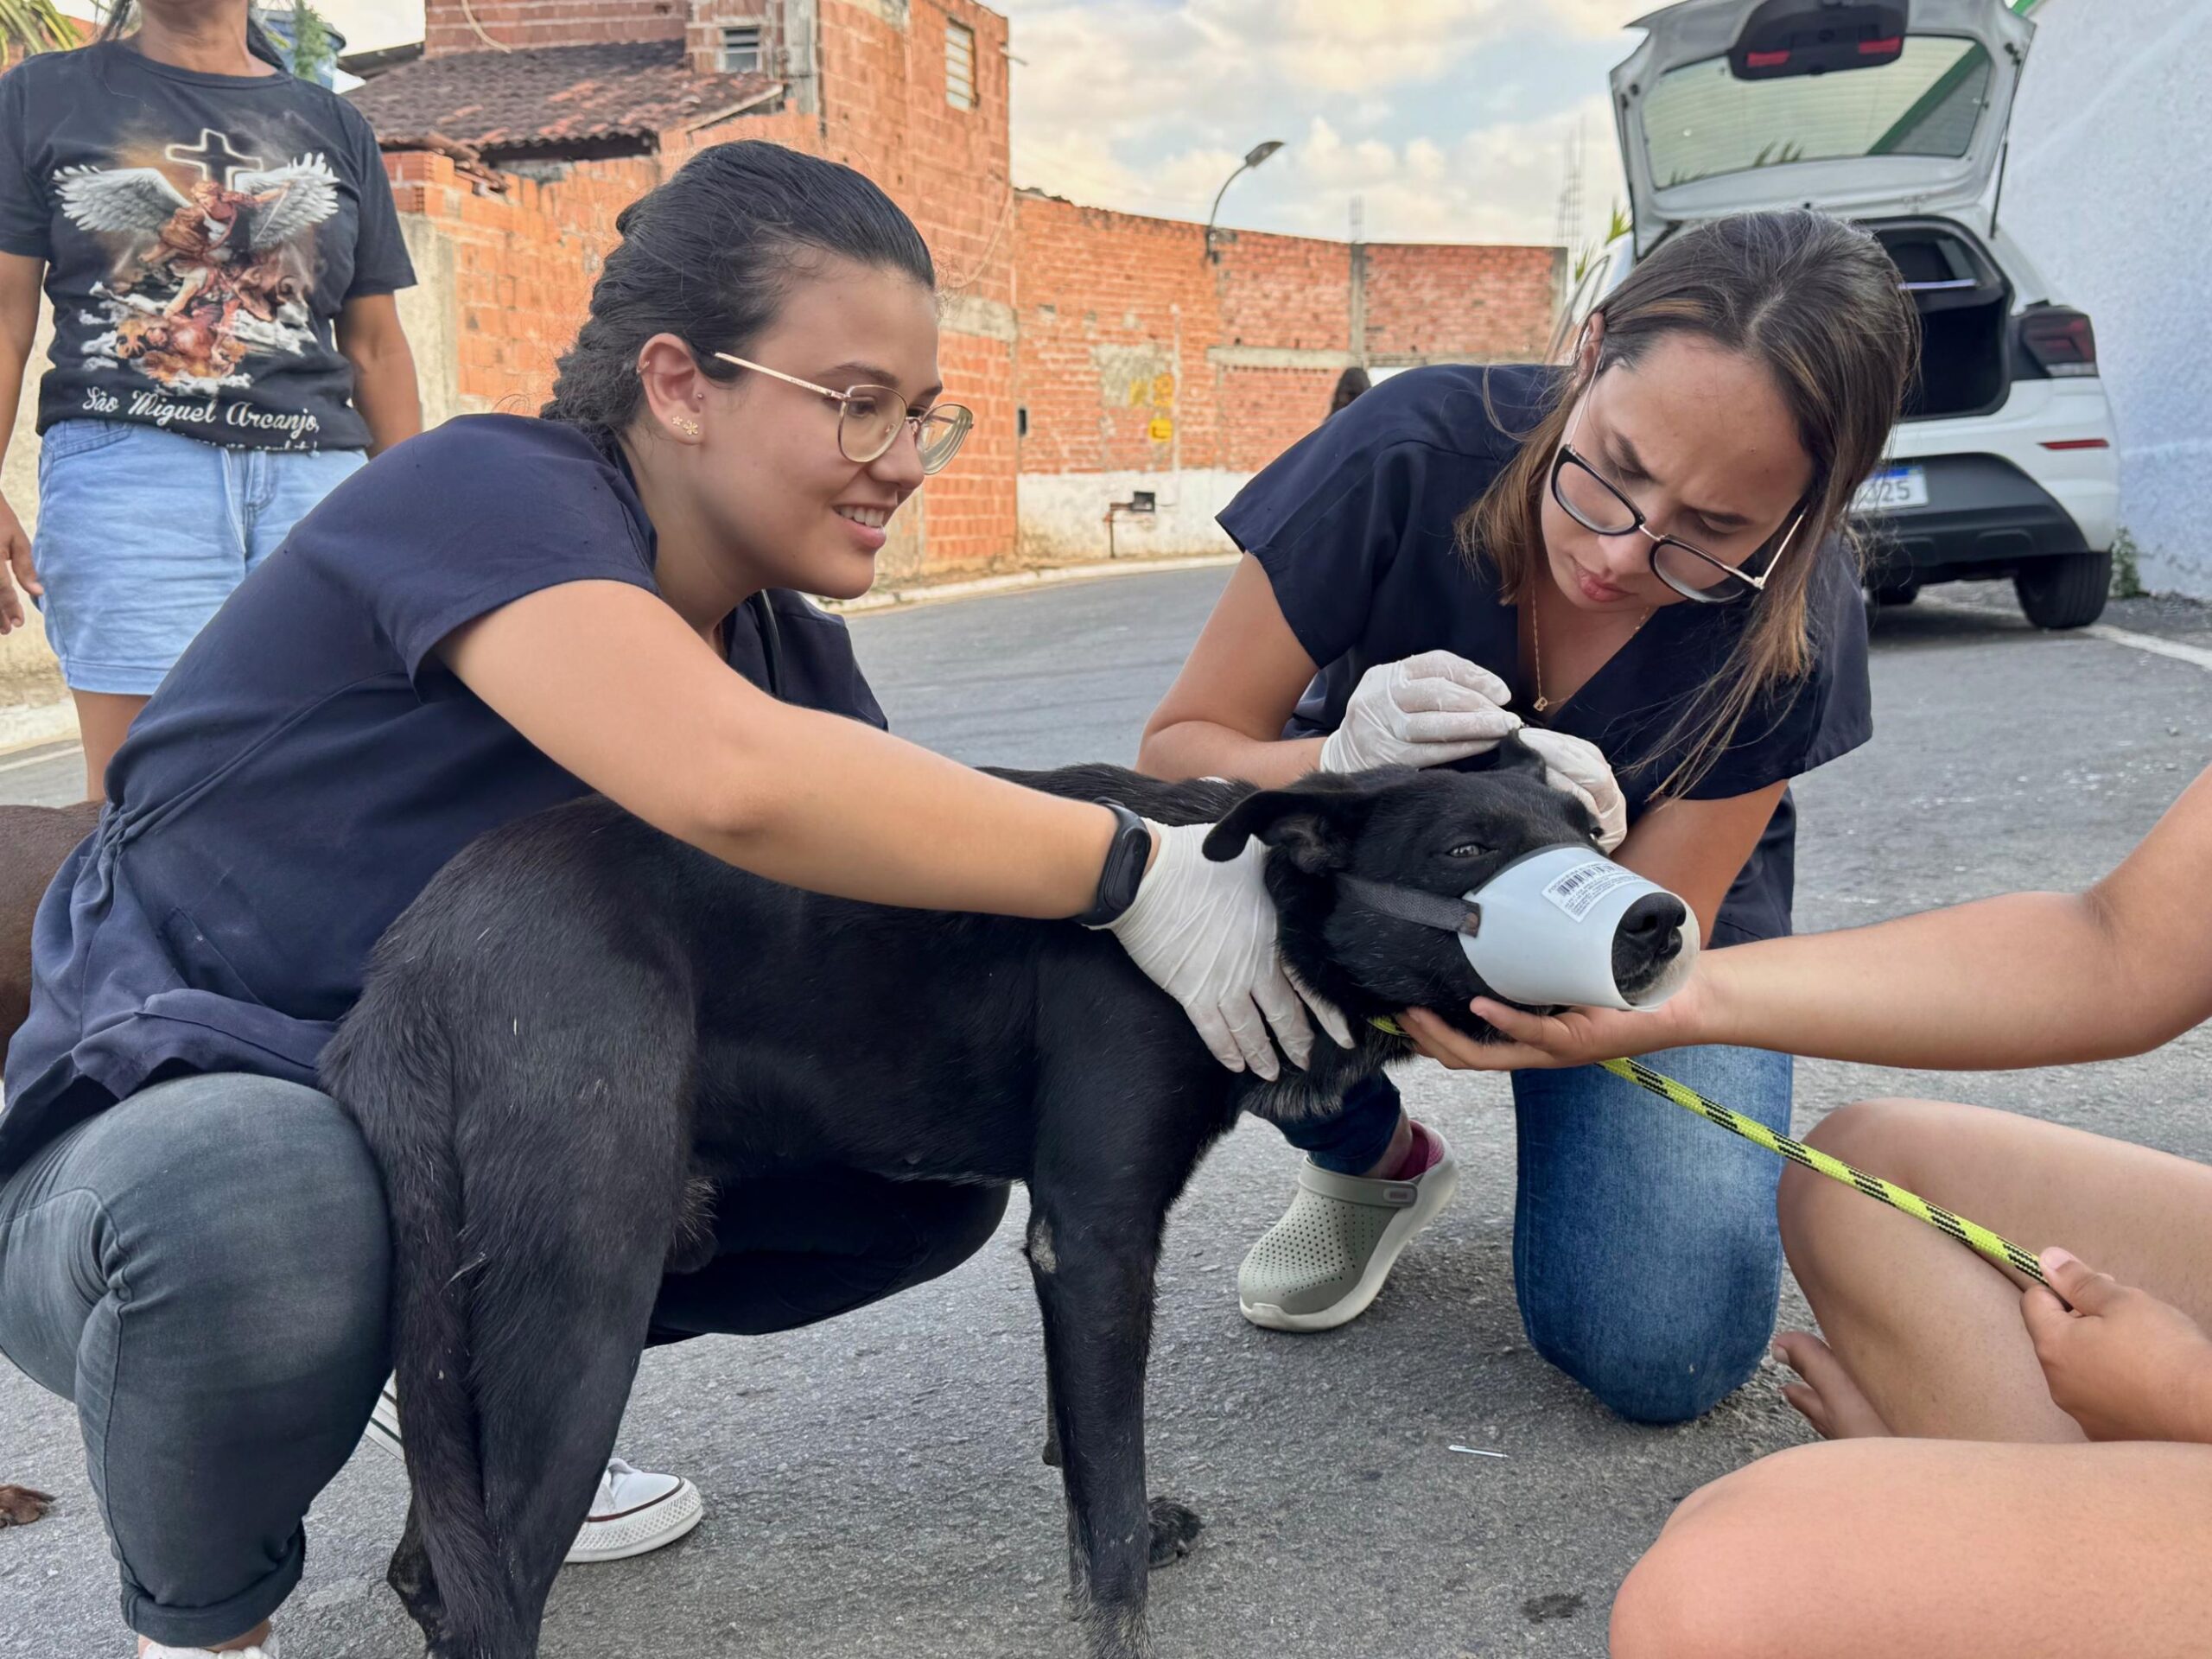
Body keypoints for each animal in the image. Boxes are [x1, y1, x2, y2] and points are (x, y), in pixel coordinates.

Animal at [321, 747, 1681, 1654]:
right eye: (1466, 851)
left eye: (1588, 831)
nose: (1661, 922)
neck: (1249, 905)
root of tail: (413, 959)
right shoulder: (1097, 1234)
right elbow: (1109, 1513)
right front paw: (1119, 1610)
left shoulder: (1070, 1246)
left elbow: (1090, 1448)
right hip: (583, 1299)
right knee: (488, 1583)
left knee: (436, 1560)